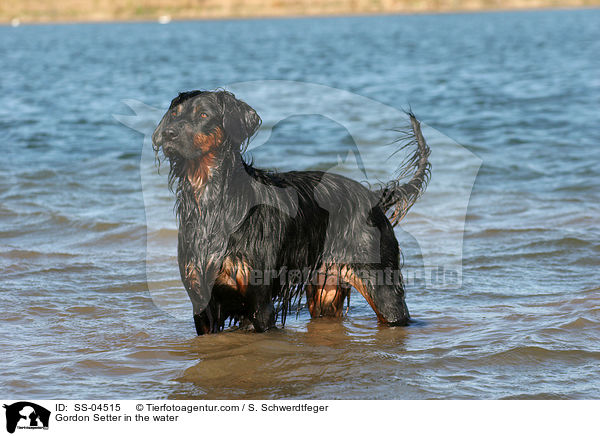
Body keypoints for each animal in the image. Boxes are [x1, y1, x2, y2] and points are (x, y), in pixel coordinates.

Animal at [152, 89, 428, 334]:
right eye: (174, 114)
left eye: (203, 114)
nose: (167, 134)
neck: (212, 202)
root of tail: (372, 197)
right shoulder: (201, 302)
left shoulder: (259, 303)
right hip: (325, 289)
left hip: (382, 287)